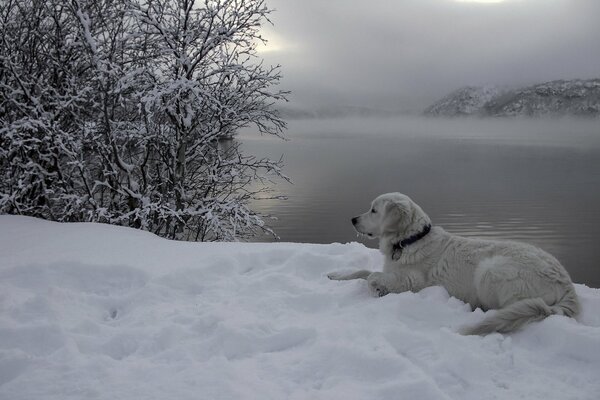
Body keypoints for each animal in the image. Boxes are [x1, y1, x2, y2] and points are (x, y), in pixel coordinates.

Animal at [330, 193, 580, 334]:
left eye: (374, 210)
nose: (353, 219)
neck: (410, 240)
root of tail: (567, 283)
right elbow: (363, 270)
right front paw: (336, 275)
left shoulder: (411, 281)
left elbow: (372, 277)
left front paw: (377, 291)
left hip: (490, 270)